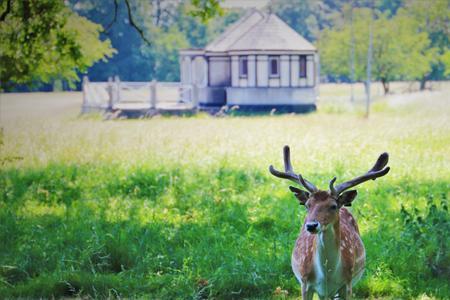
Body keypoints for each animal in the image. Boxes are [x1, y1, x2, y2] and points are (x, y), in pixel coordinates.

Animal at [268, 146, 388, 300]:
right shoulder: (304, 283)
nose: (311, 225)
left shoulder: (347, 284)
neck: (327, 276)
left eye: (333, 206)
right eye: (307, 205)